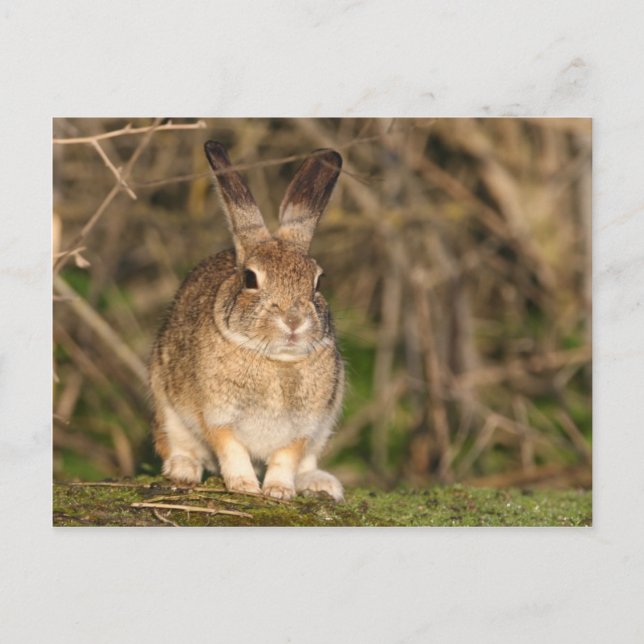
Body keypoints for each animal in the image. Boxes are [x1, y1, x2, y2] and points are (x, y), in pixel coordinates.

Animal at [149, 141, 345, 501]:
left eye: (318, 282)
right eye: (250, 279)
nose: (293, 321)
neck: (276, 360)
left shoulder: (304, 428)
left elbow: (286, 458)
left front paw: (279, 491)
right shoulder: (217, 416)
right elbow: (232, 450)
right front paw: (244, 486)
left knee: (307, 463)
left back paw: (321, 483)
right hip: (166, 406)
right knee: (176, 443)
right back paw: (183, 469)